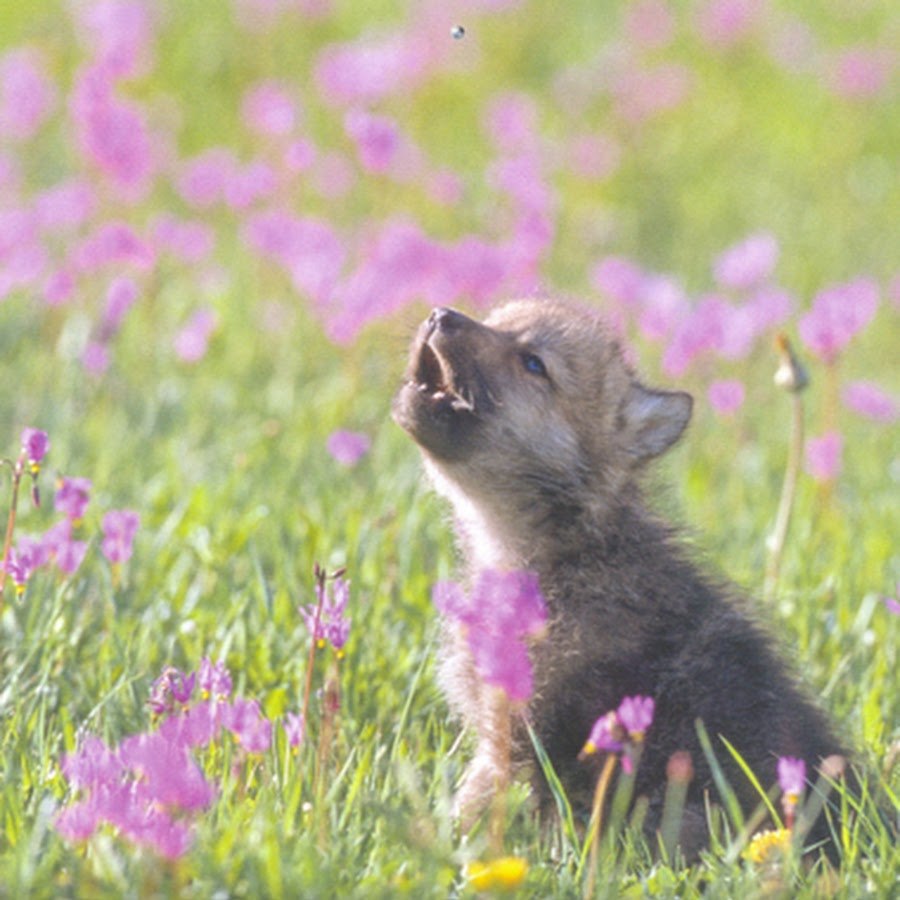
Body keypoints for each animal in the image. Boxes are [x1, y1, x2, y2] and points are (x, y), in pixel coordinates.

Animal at [392, 297, 852, 860]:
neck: (562, 553)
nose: (441, 315)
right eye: (495, 322)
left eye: (533, 363)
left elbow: (476, 806)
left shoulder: (518, 734)